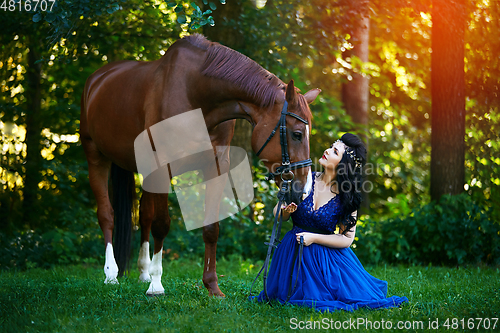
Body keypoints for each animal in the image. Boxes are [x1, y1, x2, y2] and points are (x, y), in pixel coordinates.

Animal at [79, 33, 320, 296]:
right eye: (297, 134)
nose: (303, 189)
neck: (196, 97)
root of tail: (98, 78)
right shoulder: (163, 168)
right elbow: (162, 224)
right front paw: (156, 284)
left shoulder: (215, 167)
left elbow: (211, 228)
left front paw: (212, 286)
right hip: (96, 156)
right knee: (107, 215)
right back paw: (111, 274)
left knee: (144, 216)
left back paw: (142, 271)